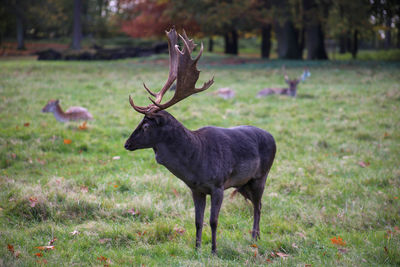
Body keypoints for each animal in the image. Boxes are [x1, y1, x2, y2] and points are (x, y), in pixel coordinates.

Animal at [124, 27, 276, 255]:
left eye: (146, 125)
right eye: (139, 122)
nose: (127, 144)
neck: (196, 162)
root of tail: (273, 137)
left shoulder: (218, 184)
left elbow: (213, 220)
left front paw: (213, 250)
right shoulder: (196, 189)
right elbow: (197, 221)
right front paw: (196, 249)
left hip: (261, 176)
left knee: (258, 206)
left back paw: (255, 237)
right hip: (245, 182)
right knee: (256, 205)